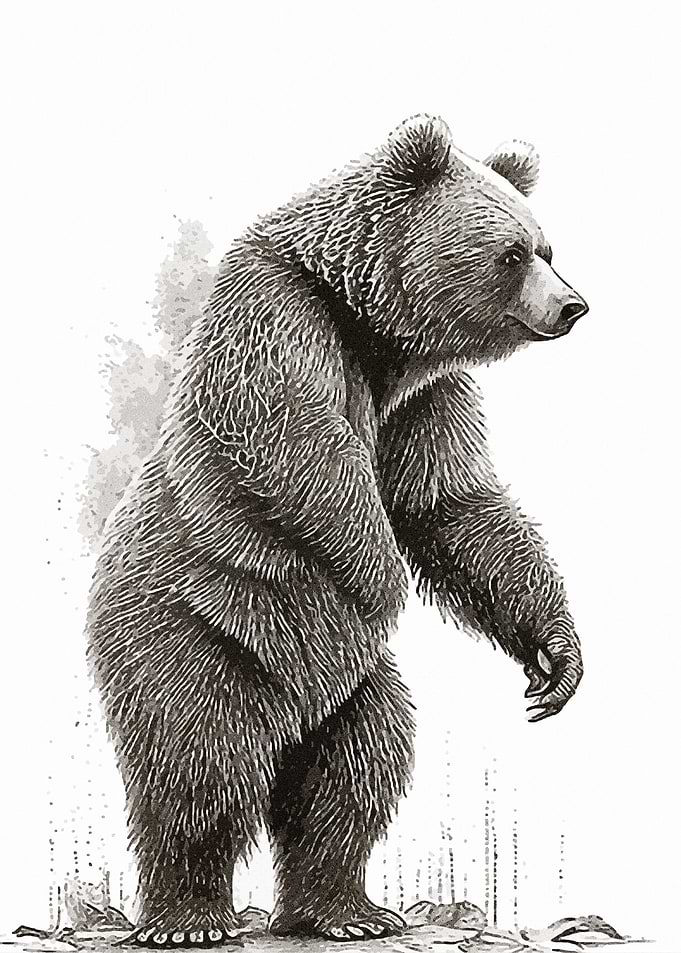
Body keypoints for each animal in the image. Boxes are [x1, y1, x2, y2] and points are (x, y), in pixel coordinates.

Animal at [87, 114, 588, 946]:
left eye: (547, 247)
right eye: (513, 252)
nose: (573, 305)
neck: (373, 327)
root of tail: (292, 705)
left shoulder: (422, 392)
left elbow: (452, 502)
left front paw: (554, 660)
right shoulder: (279, 320)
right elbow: (300, 452)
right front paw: (383, 580)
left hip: (350, 680)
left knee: (357, 764)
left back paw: (345, 908)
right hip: (192, 621)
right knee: (198, 760)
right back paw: (189, 915)